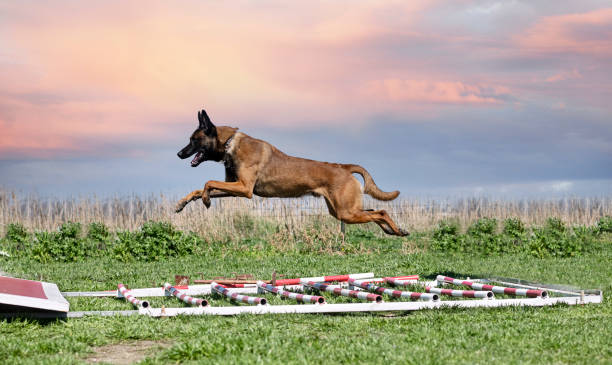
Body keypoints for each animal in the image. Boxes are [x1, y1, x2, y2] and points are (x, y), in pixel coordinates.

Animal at [175, 109, 408, 235]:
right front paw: (182, 203)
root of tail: (343, 167)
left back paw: (396, 230)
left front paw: (206, 200)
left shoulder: (244, 188)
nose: (179, 154)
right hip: (341, 210)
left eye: (193, 140)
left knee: (381, 211)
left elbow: (208, 182)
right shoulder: (234, 188)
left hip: (346, 212)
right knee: (375, 212)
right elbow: (200, 189)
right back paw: (394, 230)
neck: (229, 144)